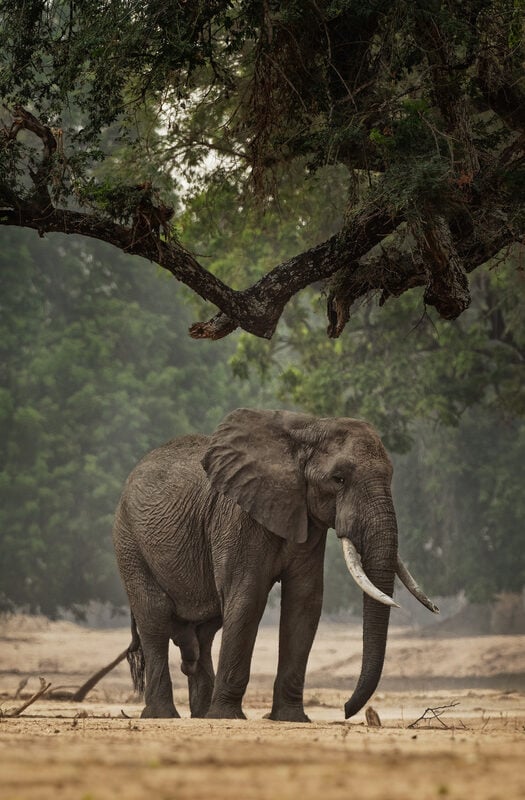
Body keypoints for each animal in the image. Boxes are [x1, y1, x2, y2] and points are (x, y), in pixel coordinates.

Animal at [112, 410, 436, 720]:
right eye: (339, 479)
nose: (346, 709)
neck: (306, 429)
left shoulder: (308, 523)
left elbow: (304, 603)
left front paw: (291, 718)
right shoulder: (238, 518)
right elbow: (247, 599)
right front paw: (228, 717)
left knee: (205, 633)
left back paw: (201, 715)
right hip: (129, 541)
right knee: (154, 618)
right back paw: (163, 715)